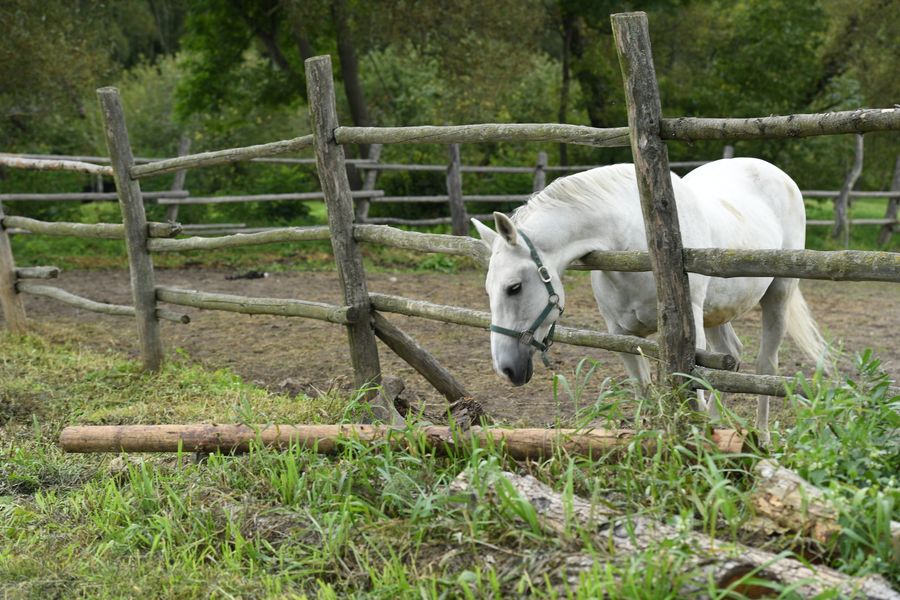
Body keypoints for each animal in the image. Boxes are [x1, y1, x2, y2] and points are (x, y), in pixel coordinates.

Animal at [471, 158, 828, 438]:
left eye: (514, 287)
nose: (506, 369)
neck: (634, 242)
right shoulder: (622, 335)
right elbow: (645, 393)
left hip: (778, 294)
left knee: (766, 366)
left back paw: (762, 436)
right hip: (716, 312)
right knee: (731, 358)